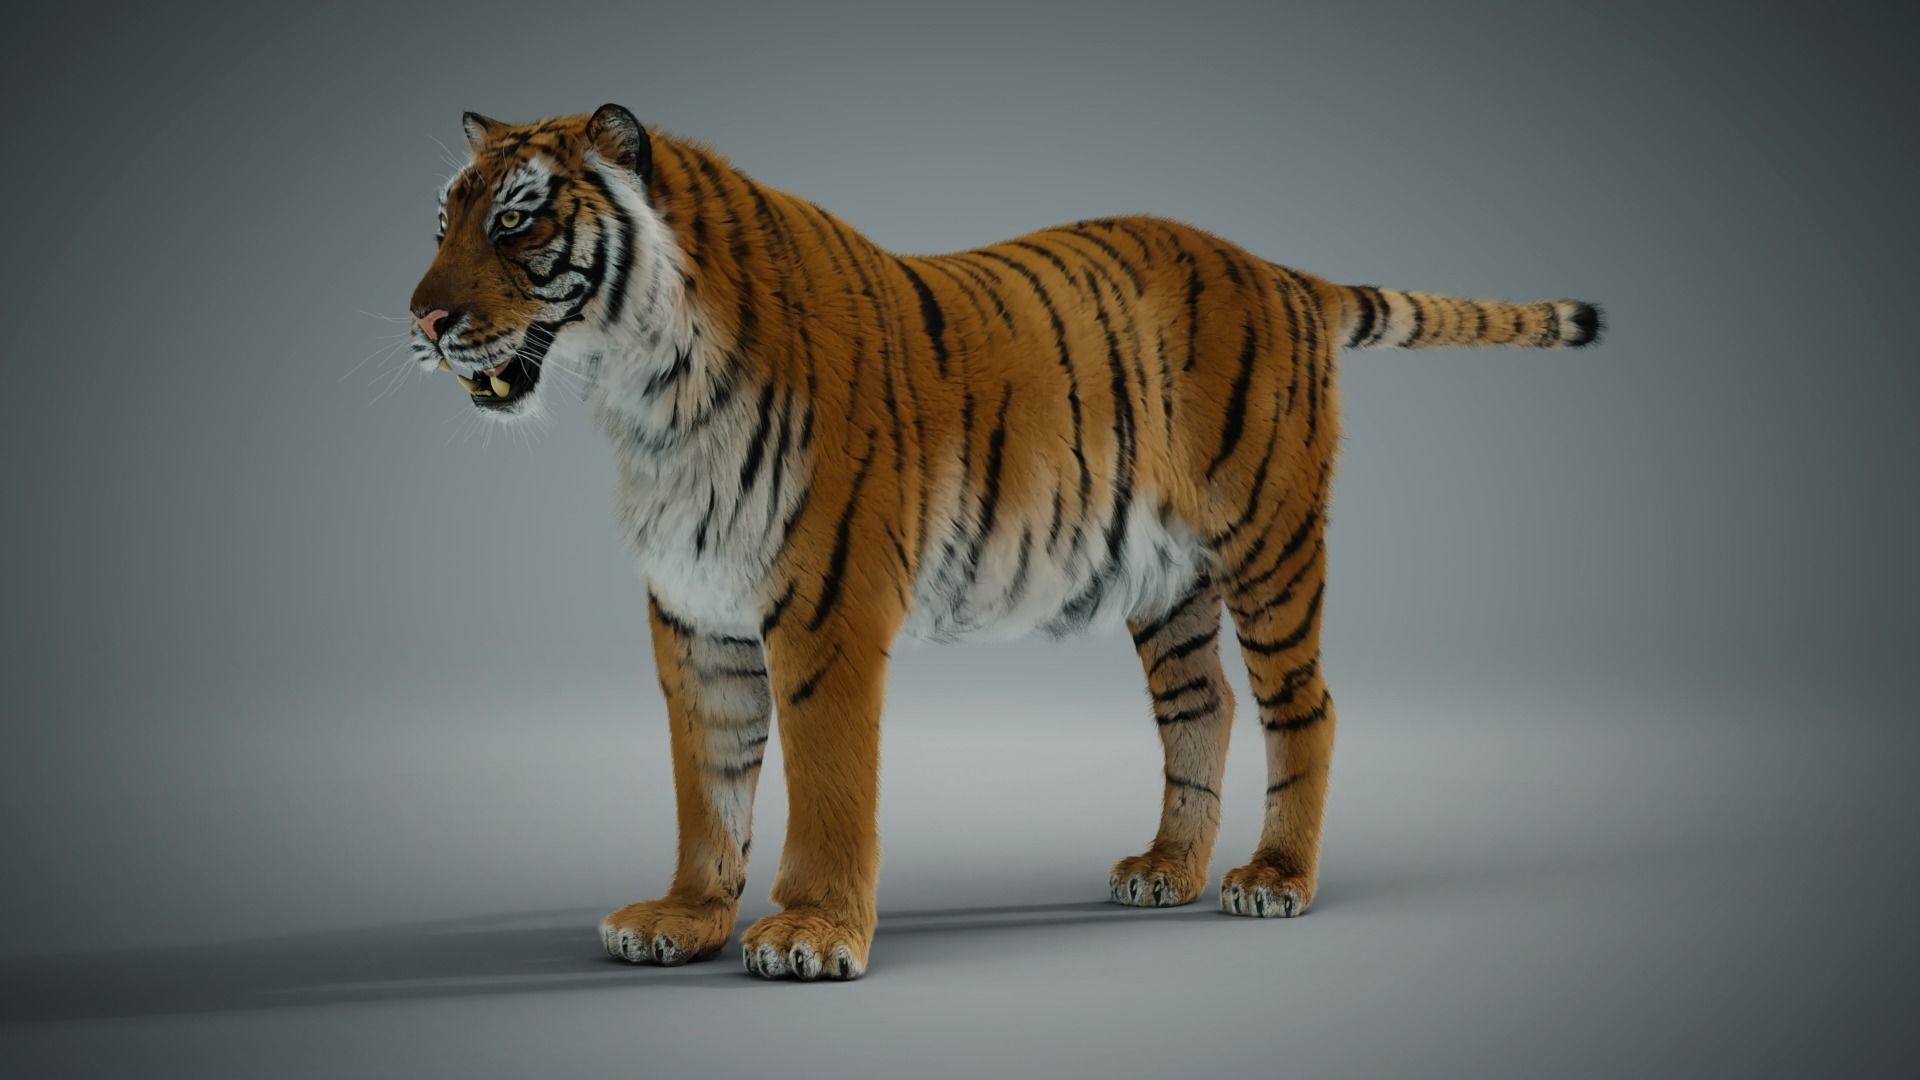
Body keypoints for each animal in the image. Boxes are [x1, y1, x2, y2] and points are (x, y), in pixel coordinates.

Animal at [406, 104, 1601, 981]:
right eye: (442, 223)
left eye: (515, 222)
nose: (420, 320)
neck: (647, 395)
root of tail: (1276, 270)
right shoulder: (694, 616)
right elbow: (709, 781)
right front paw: (685, 918)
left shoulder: (825, 610)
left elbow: (829, 783)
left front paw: (812, 936)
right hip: (1169, 585)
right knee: (1203, 707)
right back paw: (1166, 869)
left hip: (1270, 545)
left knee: (1305, 705)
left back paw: (1275, 879)